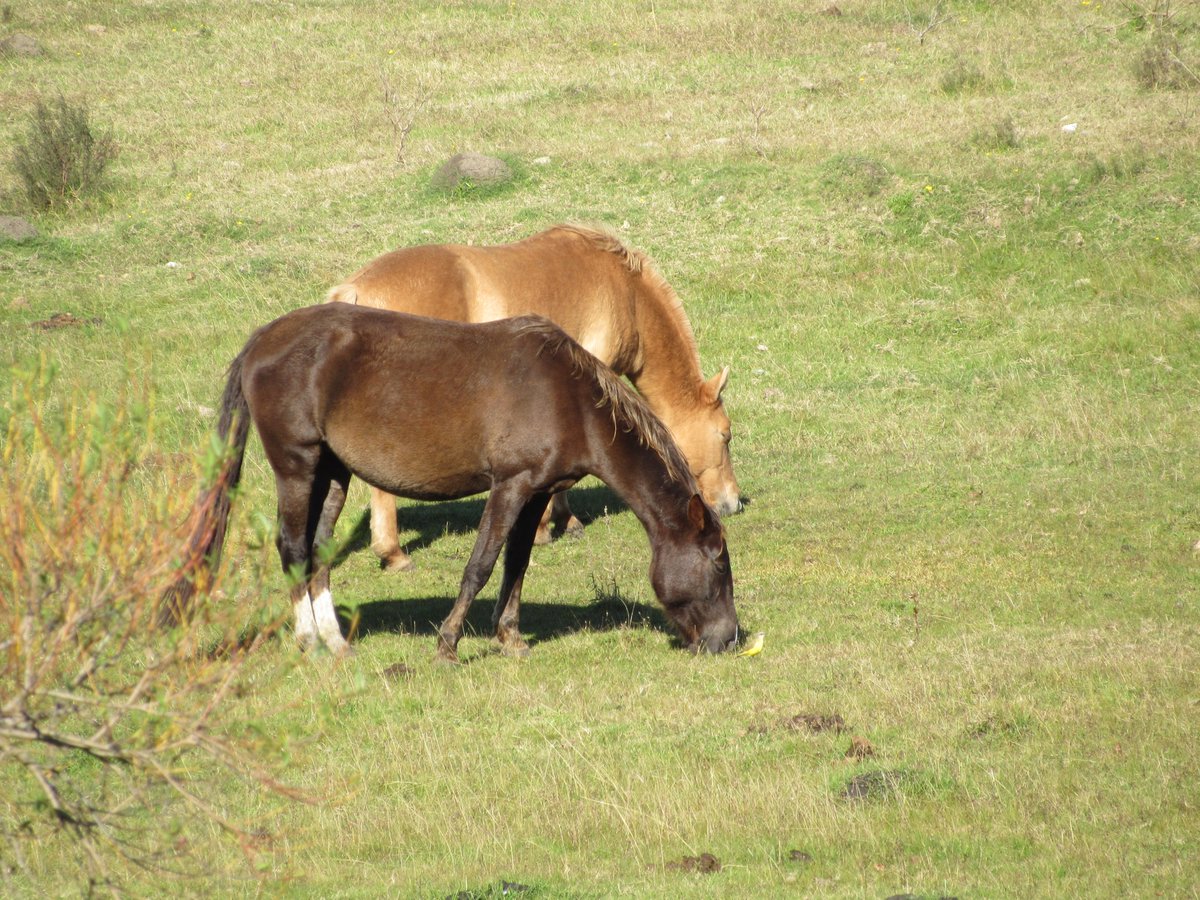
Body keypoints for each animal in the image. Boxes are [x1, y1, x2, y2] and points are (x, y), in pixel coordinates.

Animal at [164, 303, 740, 662]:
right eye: (717, 561)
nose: (729, 639)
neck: (569, 398)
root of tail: (263, 339)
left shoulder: (536, 492)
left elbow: (516, 564)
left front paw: (509, 637)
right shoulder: (510, 485)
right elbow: (480, 565)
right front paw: (447, 644)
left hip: (333, 473)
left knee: (319, 552)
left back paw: (337, 642)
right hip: (296, 466)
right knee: (293, 549)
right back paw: (308, 639)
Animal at [326, 224, 742, 571]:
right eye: (725, 434)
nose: (732, 502)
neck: (625, 292)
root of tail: (353, 291)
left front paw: (563, 520)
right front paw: (545, 527)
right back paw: (394, 553)